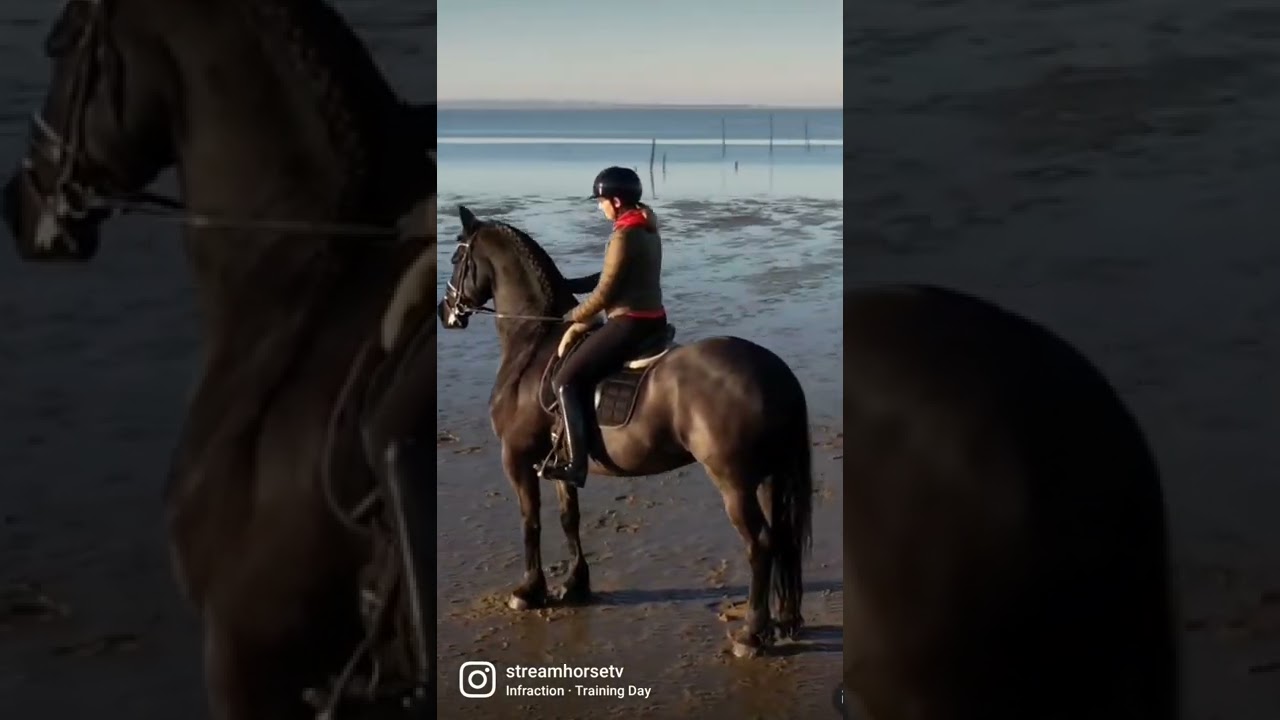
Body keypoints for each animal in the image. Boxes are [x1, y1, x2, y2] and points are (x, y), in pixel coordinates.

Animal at [436, 204, 816, 657]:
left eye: (456, 258)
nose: (444, 311)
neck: (533, 341)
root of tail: (774, 369)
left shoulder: (516, 456)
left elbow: (530, 521)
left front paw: (528, 591)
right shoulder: (558, 461)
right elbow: (568, 517)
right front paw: (575, 584)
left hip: (735, 484)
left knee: (760, 545)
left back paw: (751, 634)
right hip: (768, 477)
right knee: (780, 543)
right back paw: (780, 621)